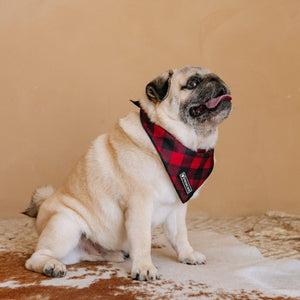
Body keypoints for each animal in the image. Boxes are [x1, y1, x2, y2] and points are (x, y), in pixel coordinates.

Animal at [24, 65, 233, 282]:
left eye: (216, 76)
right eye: (193, 83)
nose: (217, 81)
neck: (173, 140)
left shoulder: (176, 208)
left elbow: (180, 235)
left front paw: (187, 255)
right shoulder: (139, 206)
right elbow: (142, 240)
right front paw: (144, 267)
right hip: (65, 226)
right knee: (35, 258)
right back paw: (50, 266)